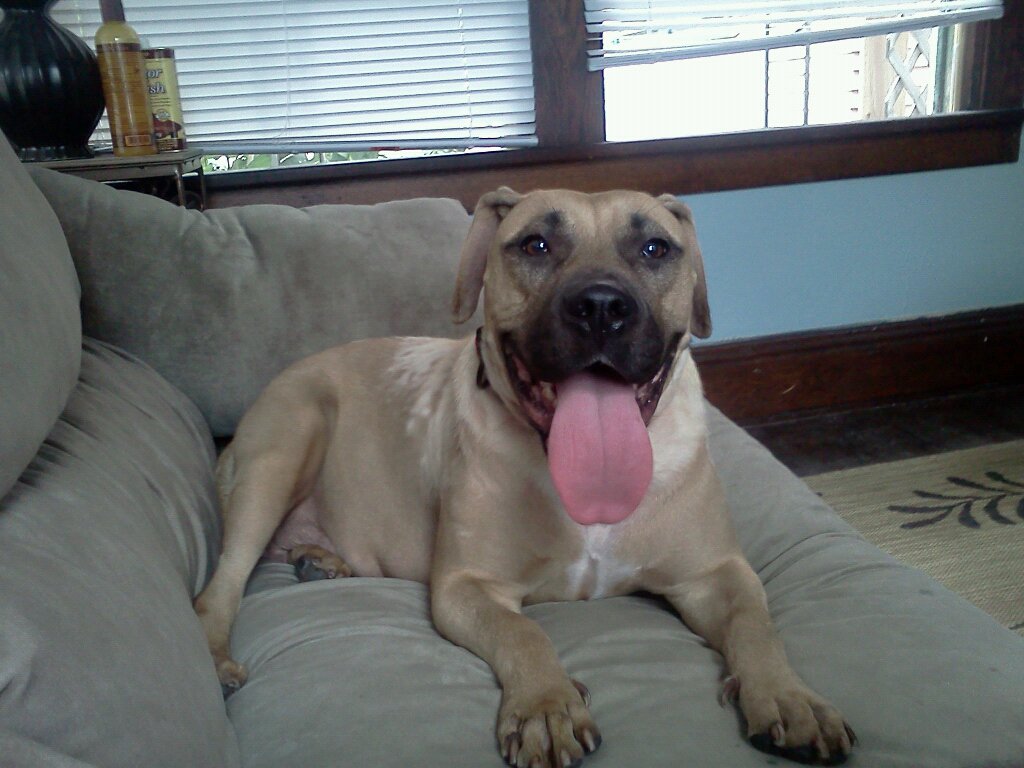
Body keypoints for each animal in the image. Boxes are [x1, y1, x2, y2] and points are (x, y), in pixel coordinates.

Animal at [194, 188, 854, 767]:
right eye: (535, 244)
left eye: (655, 249)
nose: (602, 307)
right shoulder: (468, 586)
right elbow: (523, 633)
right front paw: (546, 704)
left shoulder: (717, 574)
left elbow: (757, 626)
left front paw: (790, 696)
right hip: (286, 444)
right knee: (218, 589)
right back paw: (220, 656)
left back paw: (321, 559)